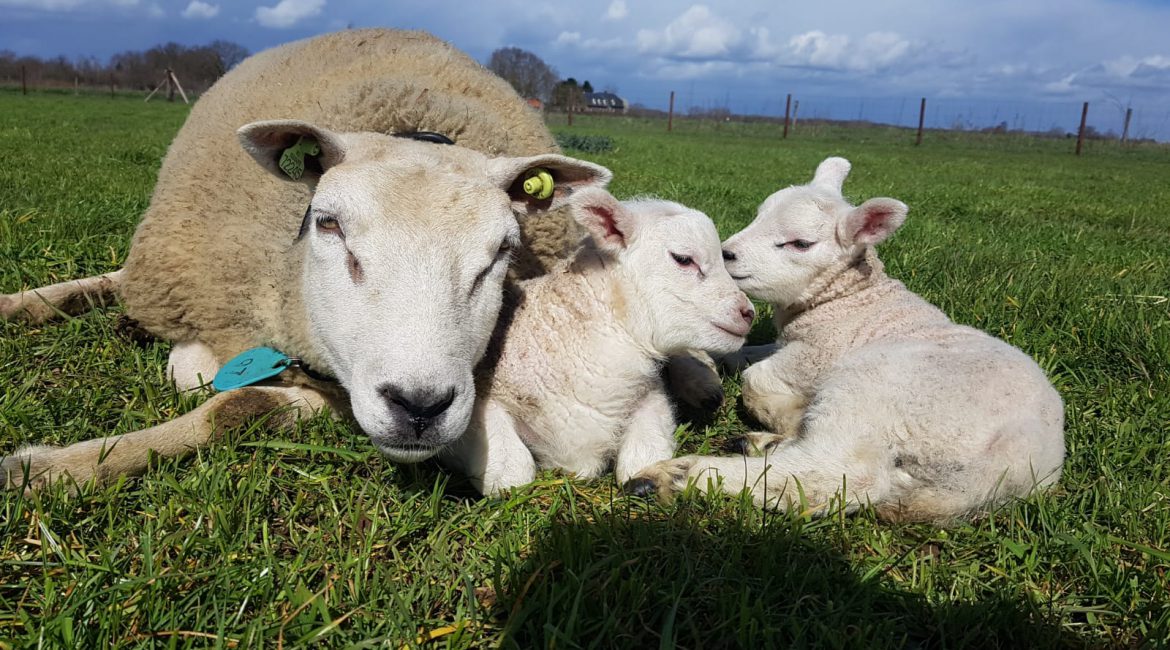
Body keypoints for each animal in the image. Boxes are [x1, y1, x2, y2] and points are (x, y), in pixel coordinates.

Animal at [0, 27, 613, 491]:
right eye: (328, 224)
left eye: (504, 251)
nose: (420, 405)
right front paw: (49, 470)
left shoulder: (337, 387)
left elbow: (237, 406)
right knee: (114, 281)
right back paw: (25, 305)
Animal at [442, 185, 753, 491]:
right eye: (684, 259)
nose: (748, 313)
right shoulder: (472, 406)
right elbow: (511, 474)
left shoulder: (651, 398)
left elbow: (641, 461)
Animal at [627, 157, 1067, 523]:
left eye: (800, 243)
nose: (726, 253)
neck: (850, 300)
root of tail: (996, 478)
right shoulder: (790, 345)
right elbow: (741, 357)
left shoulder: (817, 356)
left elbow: (756, 381)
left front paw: (787, 413)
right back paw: (761, 445)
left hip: (876, 392)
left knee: (833, 476)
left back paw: (682, 474)